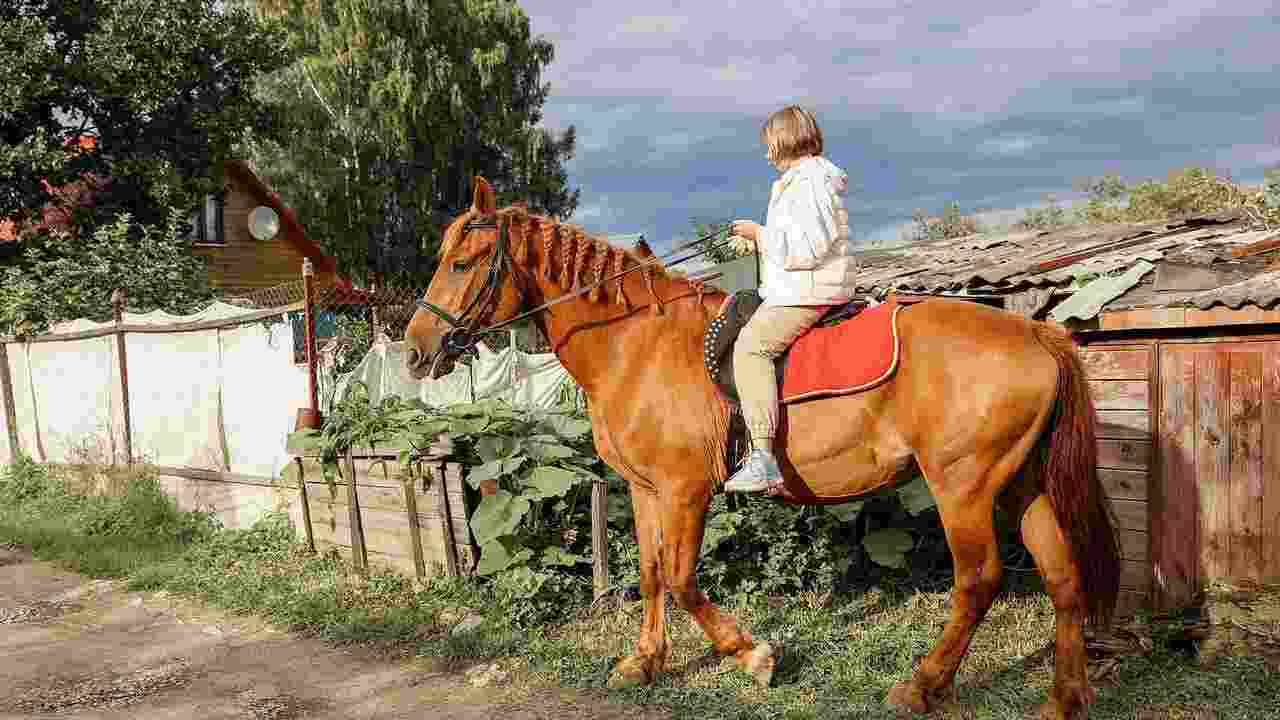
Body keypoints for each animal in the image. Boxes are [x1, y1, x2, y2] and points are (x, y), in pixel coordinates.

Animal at [403, 177, 1120, 720]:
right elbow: (651, 574)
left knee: (977, 582)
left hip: (962, 488)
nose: (415, 350)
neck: (637, 342)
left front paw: (753, 656)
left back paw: (922, 684)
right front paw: (644, 661)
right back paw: (1065, 697)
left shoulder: (686, 490)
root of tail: (1037, 333)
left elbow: (683, 578)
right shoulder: (644, 488)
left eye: (462, 263)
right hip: (1022, 485)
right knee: (1062, 577)